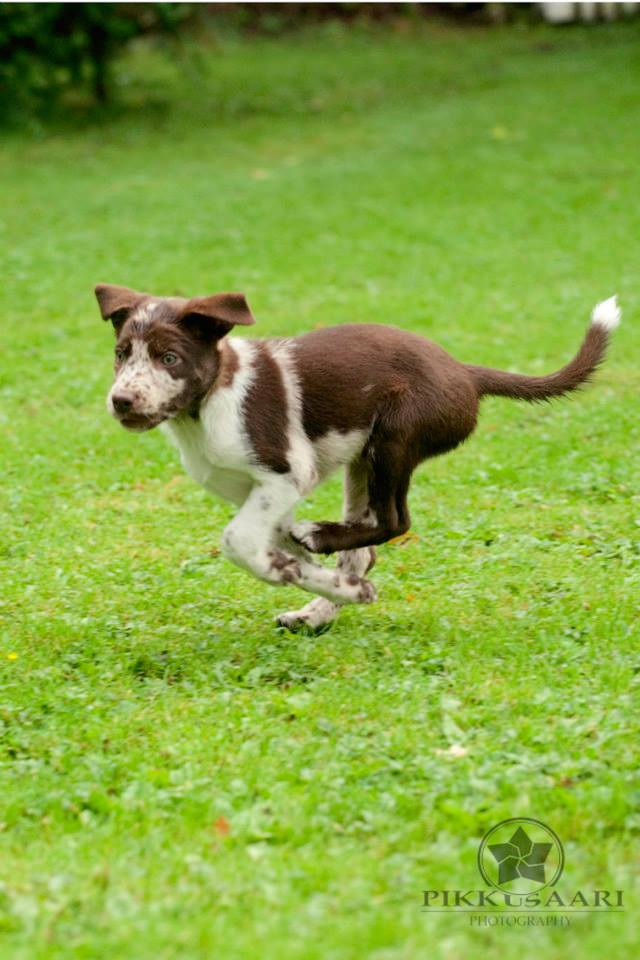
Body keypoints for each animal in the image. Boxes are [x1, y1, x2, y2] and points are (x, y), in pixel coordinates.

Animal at [96, 284, 620, 630]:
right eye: (121, 353)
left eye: (169, 358)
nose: (121, 401)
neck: (205, 407)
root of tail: (464, 372)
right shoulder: (256, 493)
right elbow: (286, 546)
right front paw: (321, 583)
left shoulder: (286, 474)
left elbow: (238, 541)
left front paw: (286, 570)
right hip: (362, 462)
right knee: (364, 547)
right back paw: (319, 608)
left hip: (394, 437)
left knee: (394, 521)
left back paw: (324, 539)